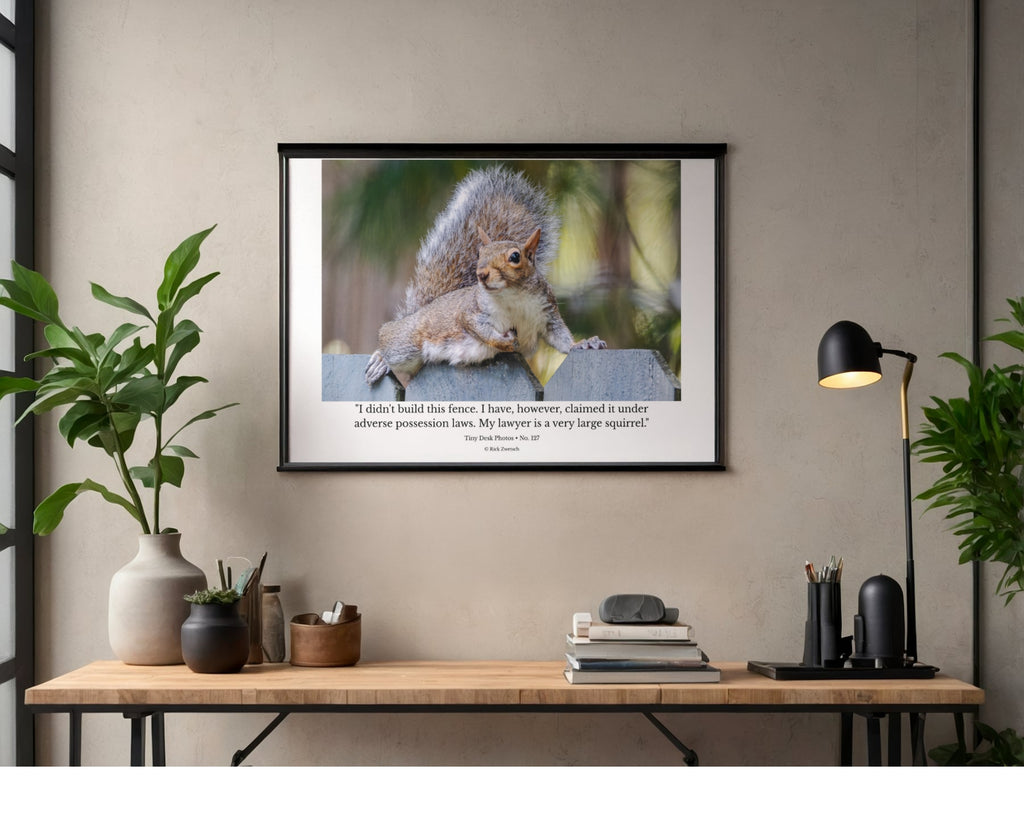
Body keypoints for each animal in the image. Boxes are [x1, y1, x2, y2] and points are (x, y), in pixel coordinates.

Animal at [364, 166, 605, 386]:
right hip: (407, 342)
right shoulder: (472, 313)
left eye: (515, 257)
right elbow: (481, 331)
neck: (514, 296)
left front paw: (583, 343)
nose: (480, 273)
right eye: (480, 254)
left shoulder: (547, 313)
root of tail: (417, 312)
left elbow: (561, 338)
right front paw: (504, 343)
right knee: (389, 342)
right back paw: (380, 361)